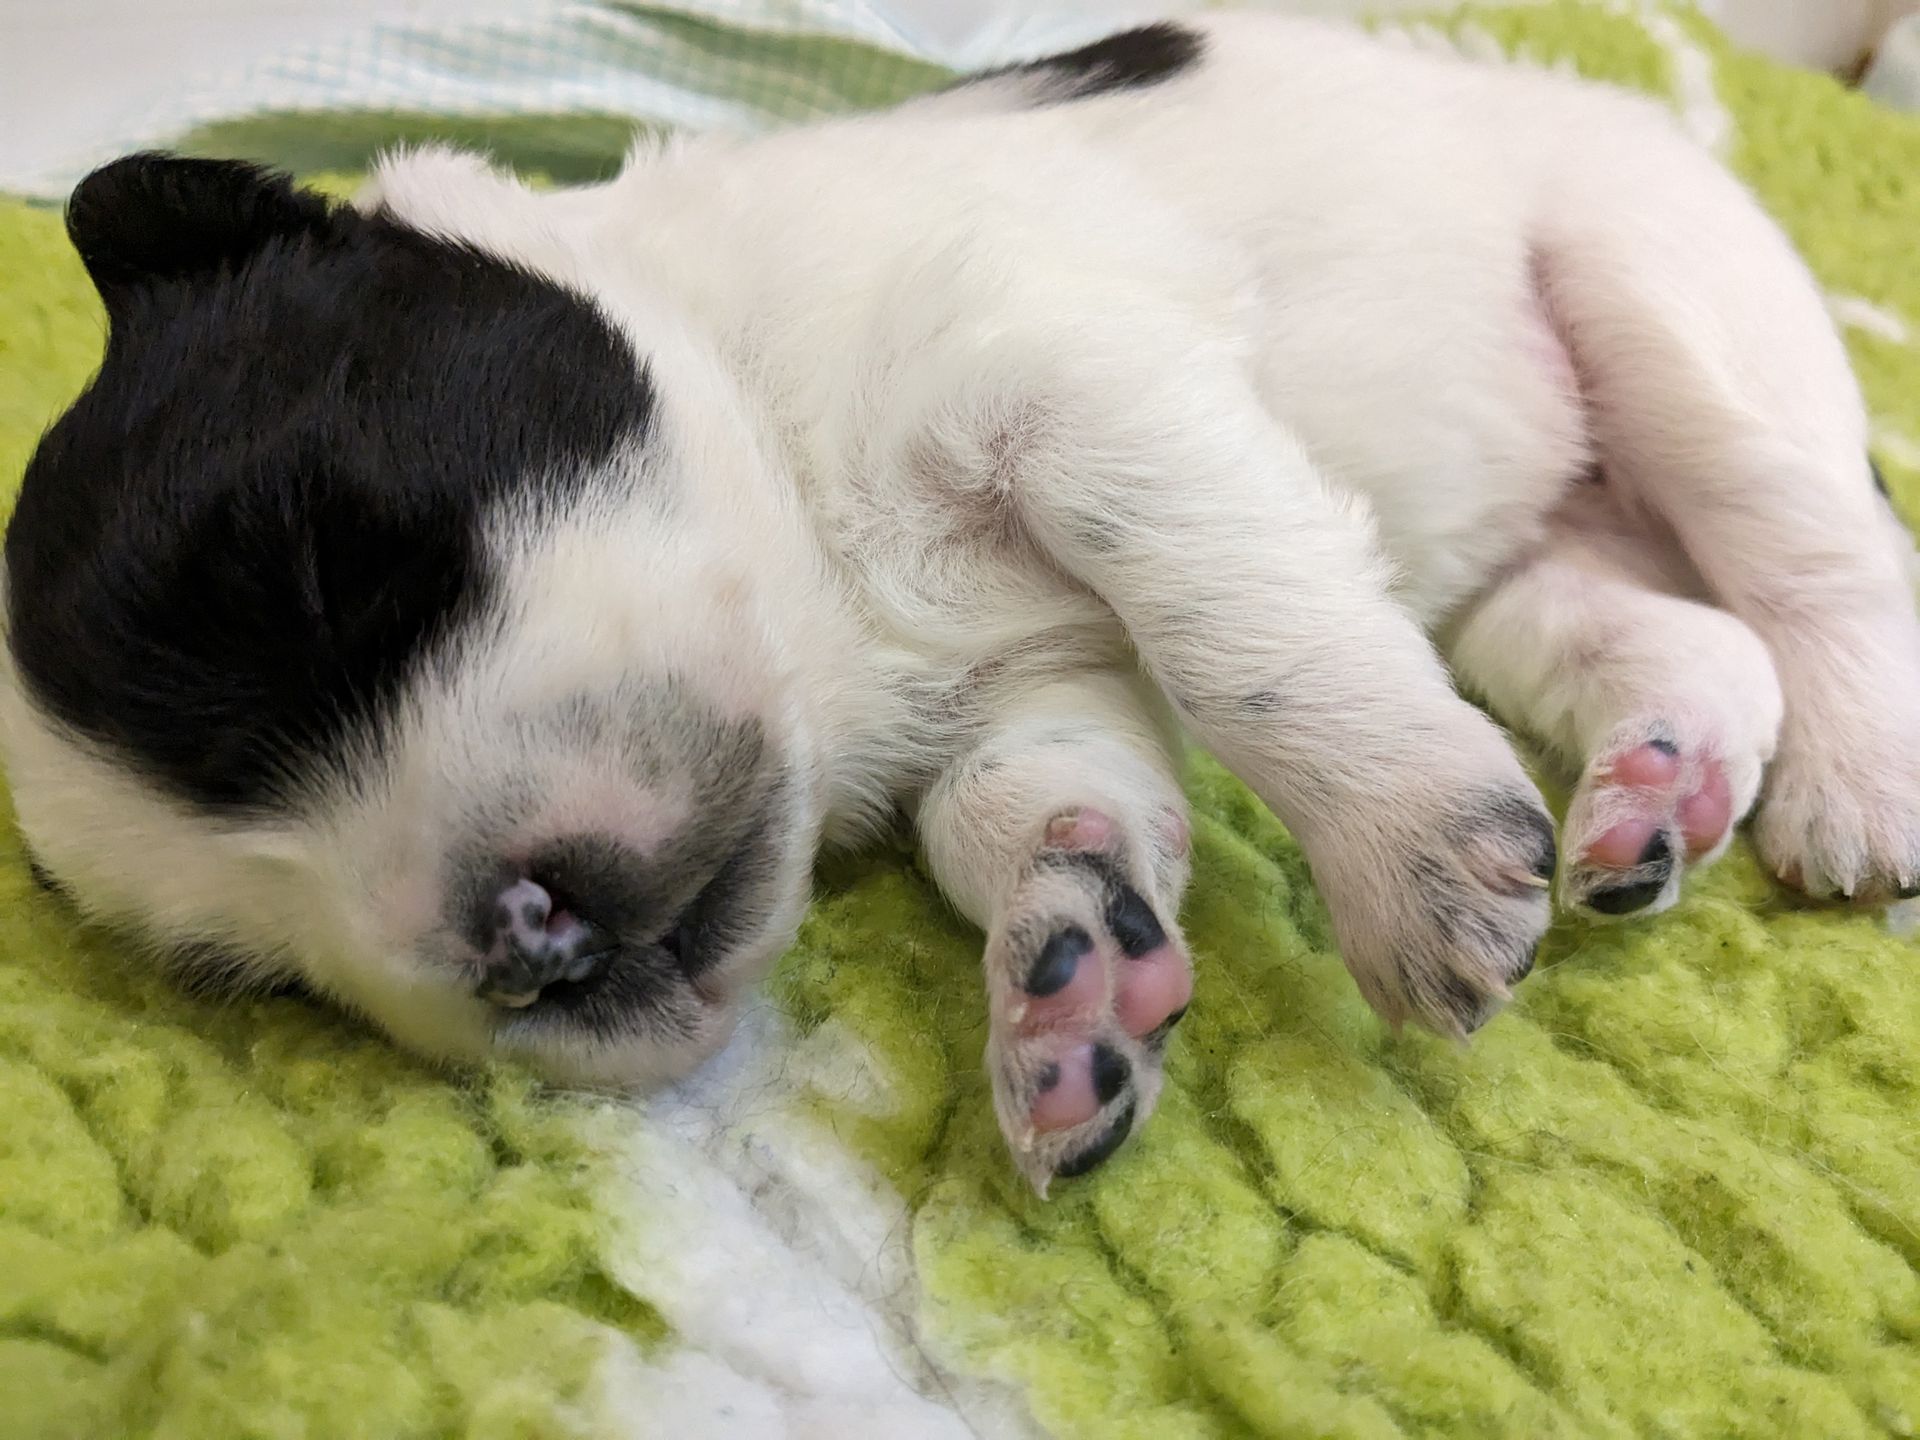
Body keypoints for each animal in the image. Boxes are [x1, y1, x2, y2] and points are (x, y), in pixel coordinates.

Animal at [5, 16, 1917, 1191]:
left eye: (329, 574)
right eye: (257, 976)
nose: (510, 943)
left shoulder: (1068, 375)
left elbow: (1229, 622)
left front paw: (1410, 852)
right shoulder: (1041, 682)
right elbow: (1028, 801)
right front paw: (1069, 979)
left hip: (1660, 297)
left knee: (1821, 559)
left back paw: (1854, 789)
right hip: (1527, 562)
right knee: (1680, 627)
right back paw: (1656, 792)